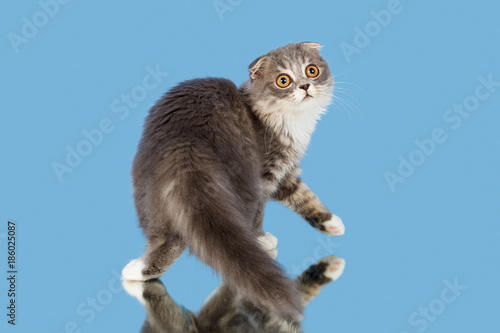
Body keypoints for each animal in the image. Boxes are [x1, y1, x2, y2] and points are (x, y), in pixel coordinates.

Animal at [123, 42, 346, 320]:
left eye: (311, 70)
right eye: (283, 80)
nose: (305, 86)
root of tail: (185, 143)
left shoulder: (284, 176)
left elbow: (303, 196)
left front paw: (331, 224)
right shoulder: (266, 174)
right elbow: (265, 210)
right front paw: (262, 239)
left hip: (148, 198)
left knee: (166, 238)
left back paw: (138, 270)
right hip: (241, 183)